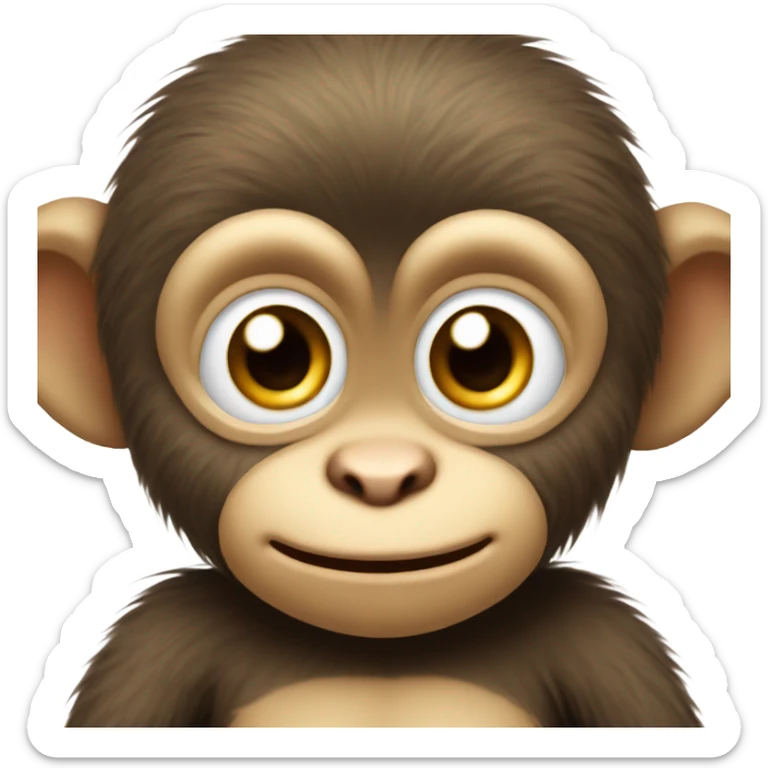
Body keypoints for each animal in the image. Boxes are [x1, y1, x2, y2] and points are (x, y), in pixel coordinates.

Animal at [31, 34, 735, 728]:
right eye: (272, 354)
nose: (381, 473)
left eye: (482, 353)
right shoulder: (156, 639)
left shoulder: (608, 638)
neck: (382, 651)